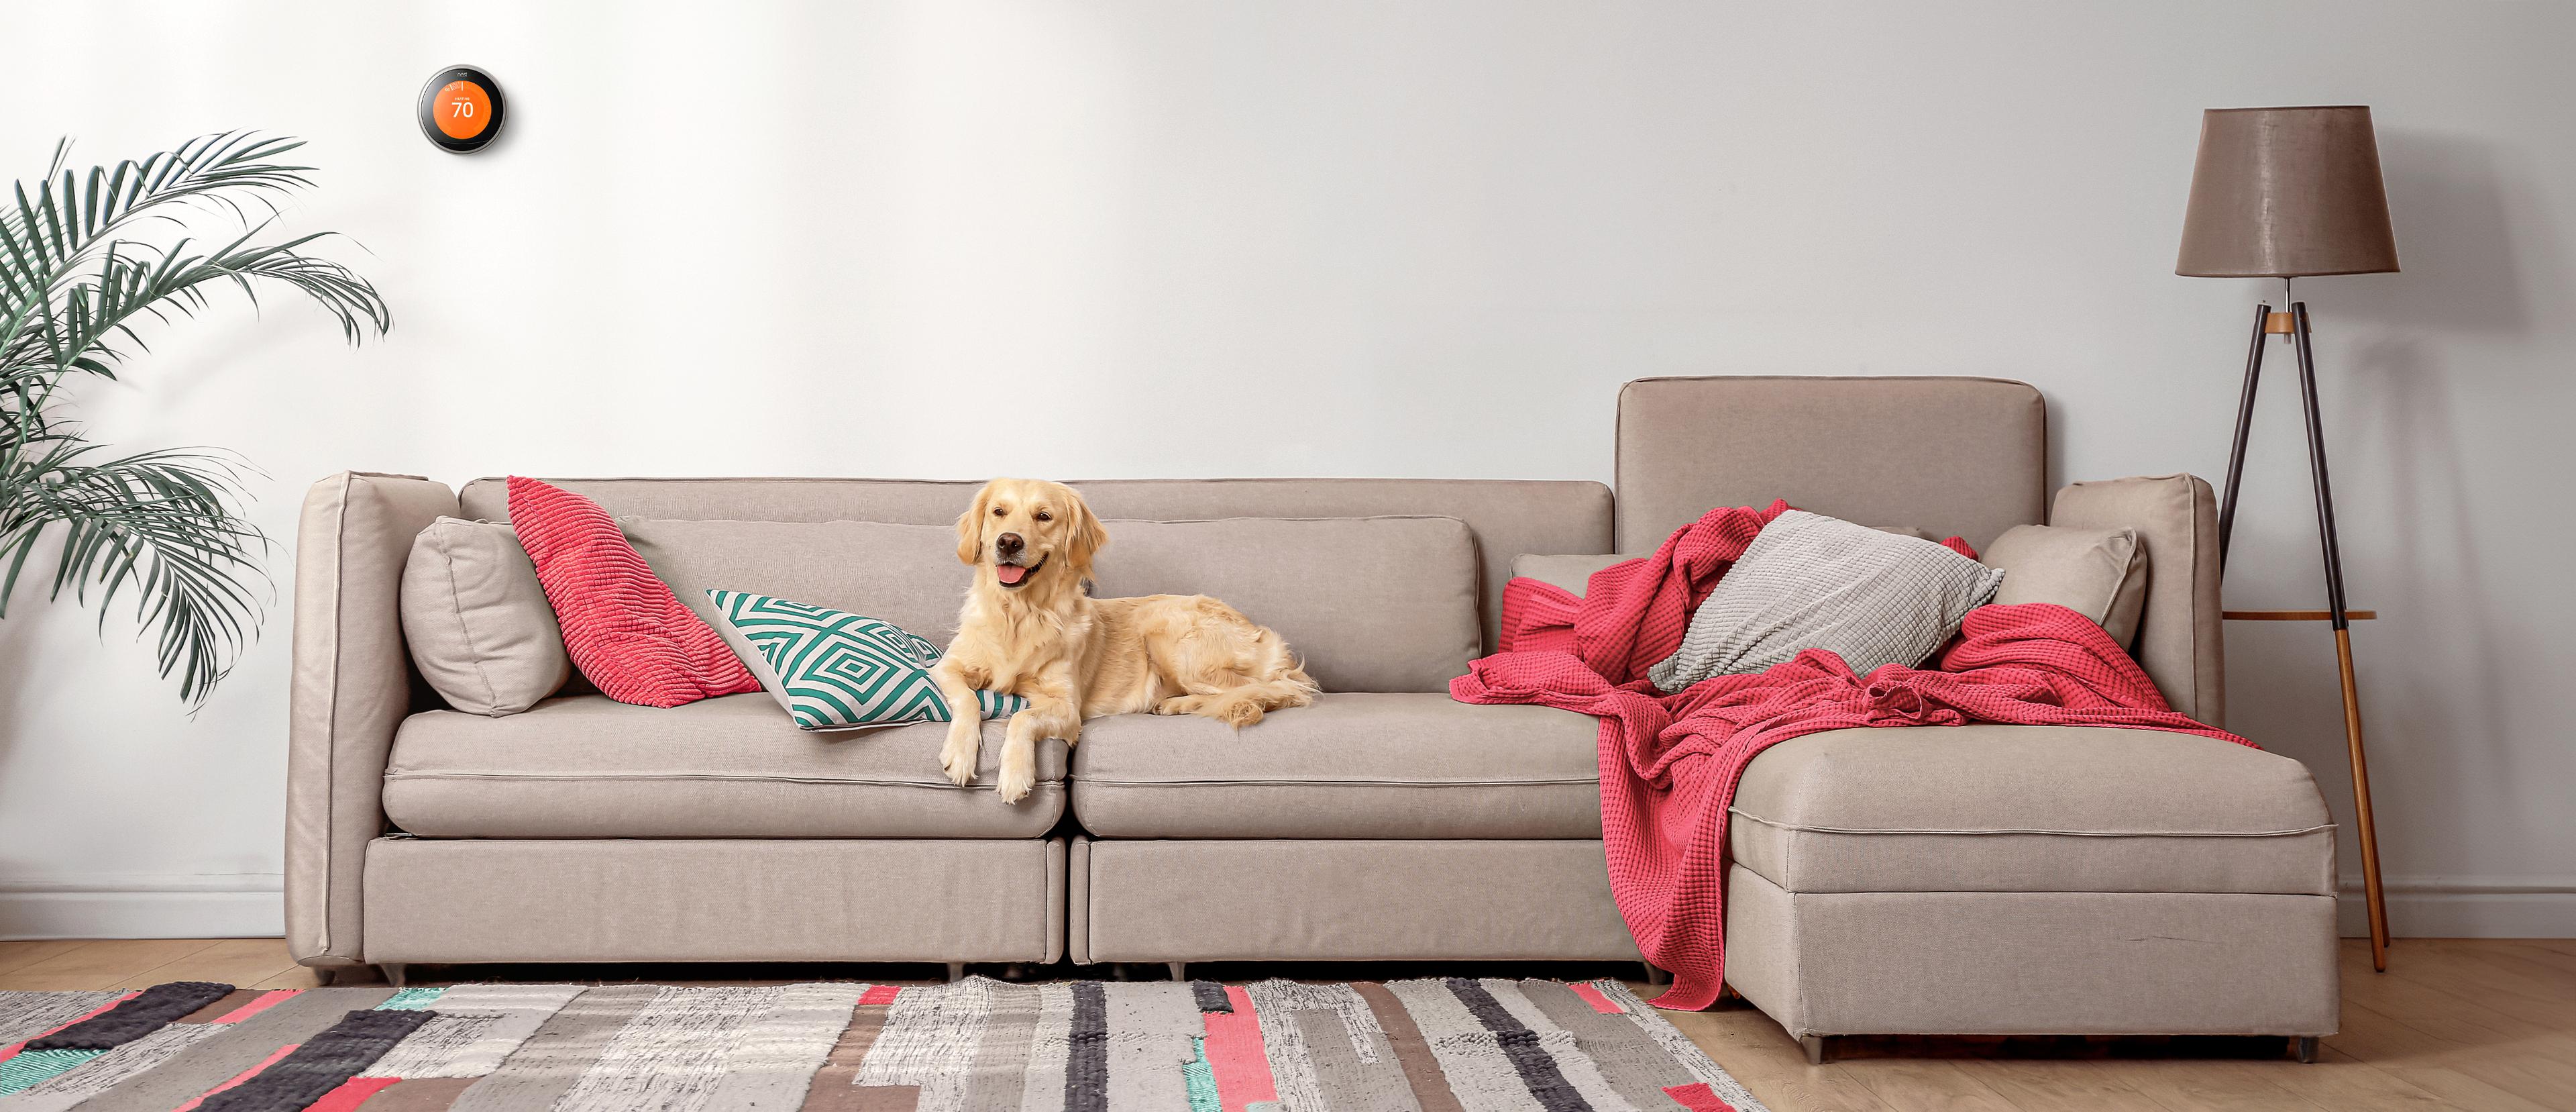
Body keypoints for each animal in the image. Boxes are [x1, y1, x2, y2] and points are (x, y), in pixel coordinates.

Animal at [937, 478, 1319, 798]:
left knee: (1267, 691)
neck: (1020, 614)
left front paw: (1016, 774)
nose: (1009, 542)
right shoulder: (947, 667)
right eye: (998, 512)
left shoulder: (1068, 709)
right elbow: (968, 699)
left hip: (1168, 634)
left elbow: (1022, 718)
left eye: (1043, 516)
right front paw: (959, 754)